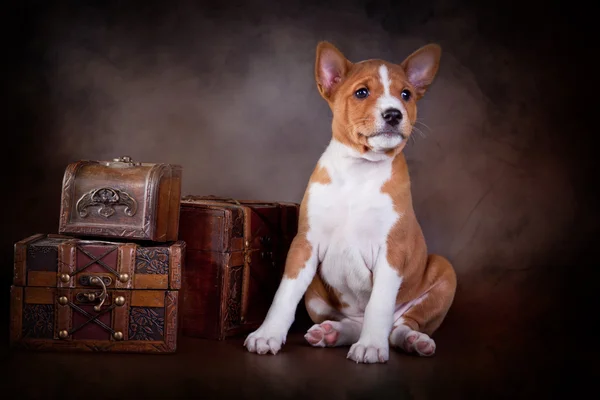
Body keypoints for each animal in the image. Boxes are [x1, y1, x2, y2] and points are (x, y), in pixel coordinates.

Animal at [243, 41, 454, 362]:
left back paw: (412, 340)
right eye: (362, 93)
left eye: (406, 94)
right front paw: (267, 335)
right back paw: (332, 333)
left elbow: (379, 304)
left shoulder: (392, 251)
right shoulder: (304, 244)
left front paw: (371, 346)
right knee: (354, 323)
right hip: (315, 294)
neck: (359, 169)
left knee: (401, 325)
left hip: (443, 270)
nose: (394, 114)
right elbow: (284, 295)